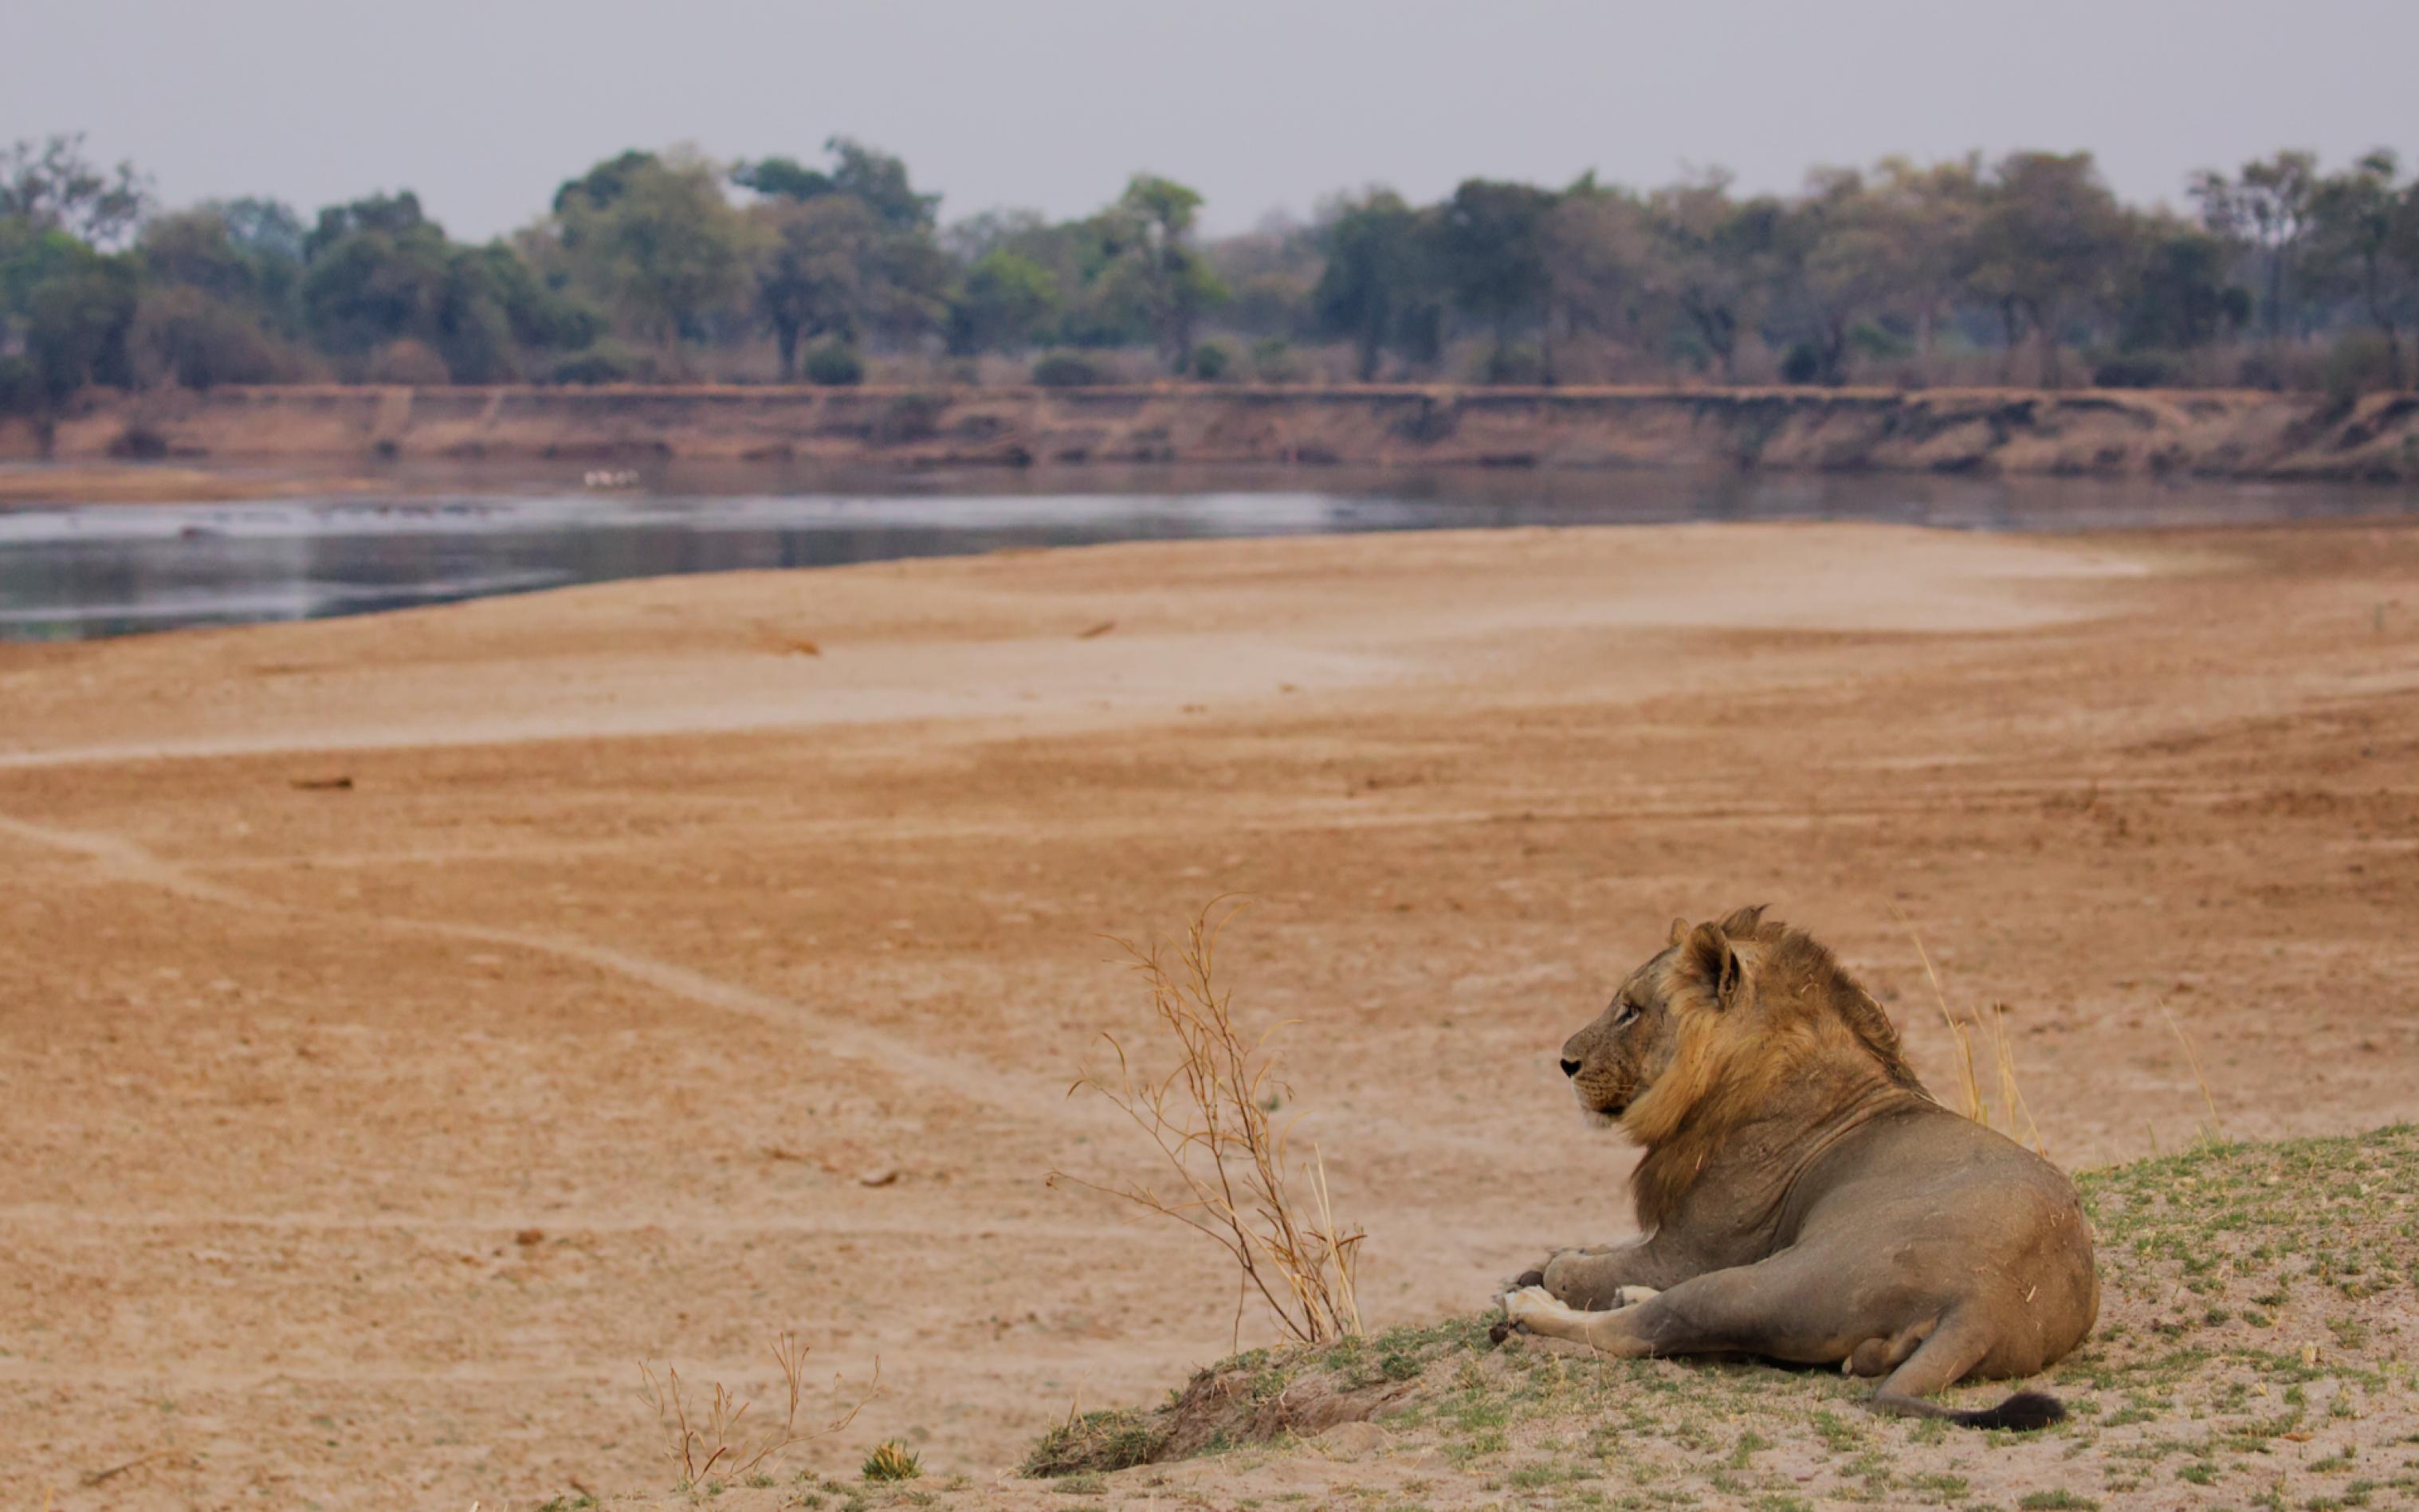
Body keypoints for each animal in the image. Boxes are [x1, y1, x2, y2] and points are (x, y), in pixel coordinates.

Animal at [1490, 909, 2099, 1422]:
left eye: (1630, 1009)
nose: (1565, 1062)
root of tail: (1983, 1303)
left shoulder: (1687, 1253)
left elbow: (1575, 1268)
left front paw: (1542, 1275)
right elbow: (1598, 1248)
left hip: (1767, 1282)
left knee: (1642, 1329)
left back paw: (1532, 1308)